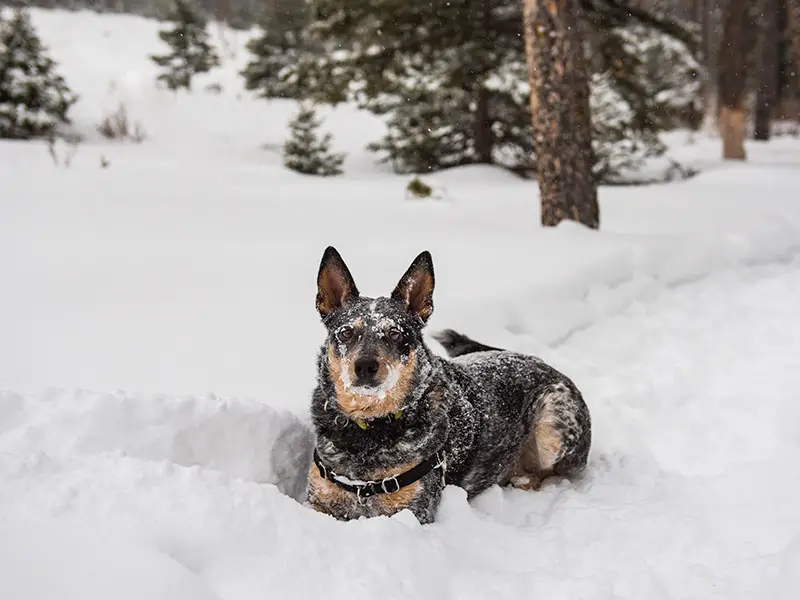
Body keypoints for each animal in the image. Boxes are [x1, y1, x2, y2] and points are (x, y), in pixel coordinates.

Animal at [304, 246, 592, 524]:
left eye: (395, 333)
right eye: (346, 332)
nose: (365, 366)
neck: (370, 428)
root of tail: (541, 361)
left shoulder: (414, 511)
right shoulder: (316, 500)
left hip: (552, 431)